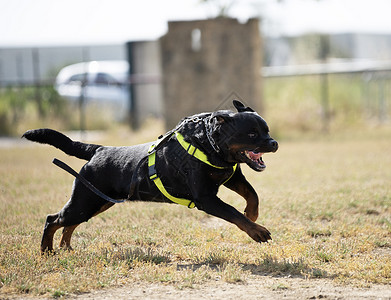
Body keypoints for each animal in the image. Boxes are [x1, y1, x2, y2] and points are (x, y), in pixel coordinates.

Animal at [23, 101, 278, 253]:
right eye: (252, 134)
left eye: (267, 130)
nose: (274, 143)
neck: (209, 145)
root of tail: (98, 149)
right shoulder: (206, 198)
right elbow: (233, 212)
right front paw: (257, 231)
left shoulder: (231, 177)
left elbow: (252, 194)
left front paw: (252, 214)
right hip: (86, 201)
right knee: (53, 219)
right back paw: (47, 251)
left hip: (96, 202)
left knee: (69, 223)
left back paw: (65, 247)